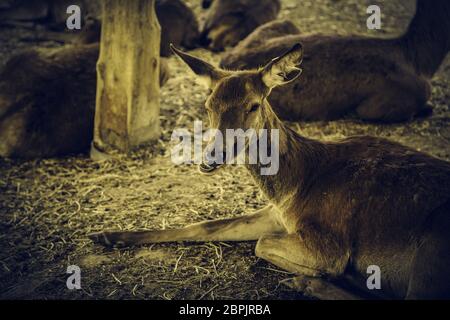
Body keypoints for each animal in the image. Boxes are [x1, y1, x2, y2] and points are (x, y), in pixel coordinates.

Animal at [89, 45, 450, 300]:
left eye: (252, 105)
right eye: (207, 105)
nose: (211, 157)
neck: (296, 186)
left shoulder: (328, 241)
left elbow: (262, 245)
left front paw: (332, 272)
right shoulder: (276, 214)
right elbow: (206, 226)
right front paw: (106, 234)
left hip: (434, 246)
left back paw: (313, 282)